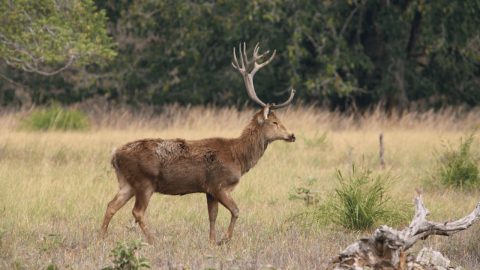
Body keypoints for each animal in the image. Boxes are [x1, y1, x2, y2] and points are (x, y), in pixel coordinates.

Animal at [97, 42, 296, 245]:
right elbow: (236, 210)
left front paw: (211, 242)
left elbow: (212, 216)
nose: (292, 135)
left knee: (111, 205)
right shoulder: (219, 184)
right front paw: (224, 239)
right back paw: (153, 241)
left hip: (126, 182)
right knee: (137, 212)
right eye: (275, 122)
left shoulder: (208, 190)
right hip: (144, 181)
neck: (238, 157)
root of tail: (114, 153)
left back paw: (99, 239)